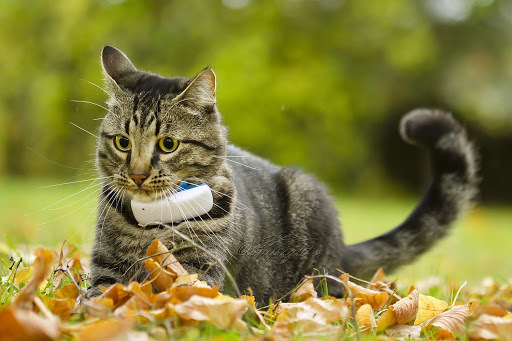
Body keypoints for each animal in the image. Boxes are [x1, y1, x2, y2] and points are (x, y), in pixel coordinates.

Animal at [87, 45, 476, 302]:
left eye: (167, 144)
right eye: (123, 142)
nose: (137, 174)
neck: (150, 223)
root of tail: (340, 251)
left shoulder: (197, 269)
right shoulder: (106, 266)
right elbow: (101, 299)